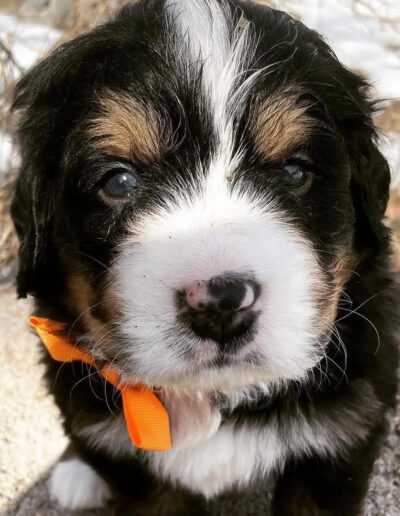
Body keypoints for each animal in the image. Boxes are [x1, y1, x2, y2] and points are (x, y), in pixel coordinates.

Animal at [9, 1, 396, 516]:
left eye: (294, 171)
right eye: (119, 182)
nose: (221, 302)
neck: (214, 396)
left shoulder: (342, 436)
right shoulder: (139, 471)